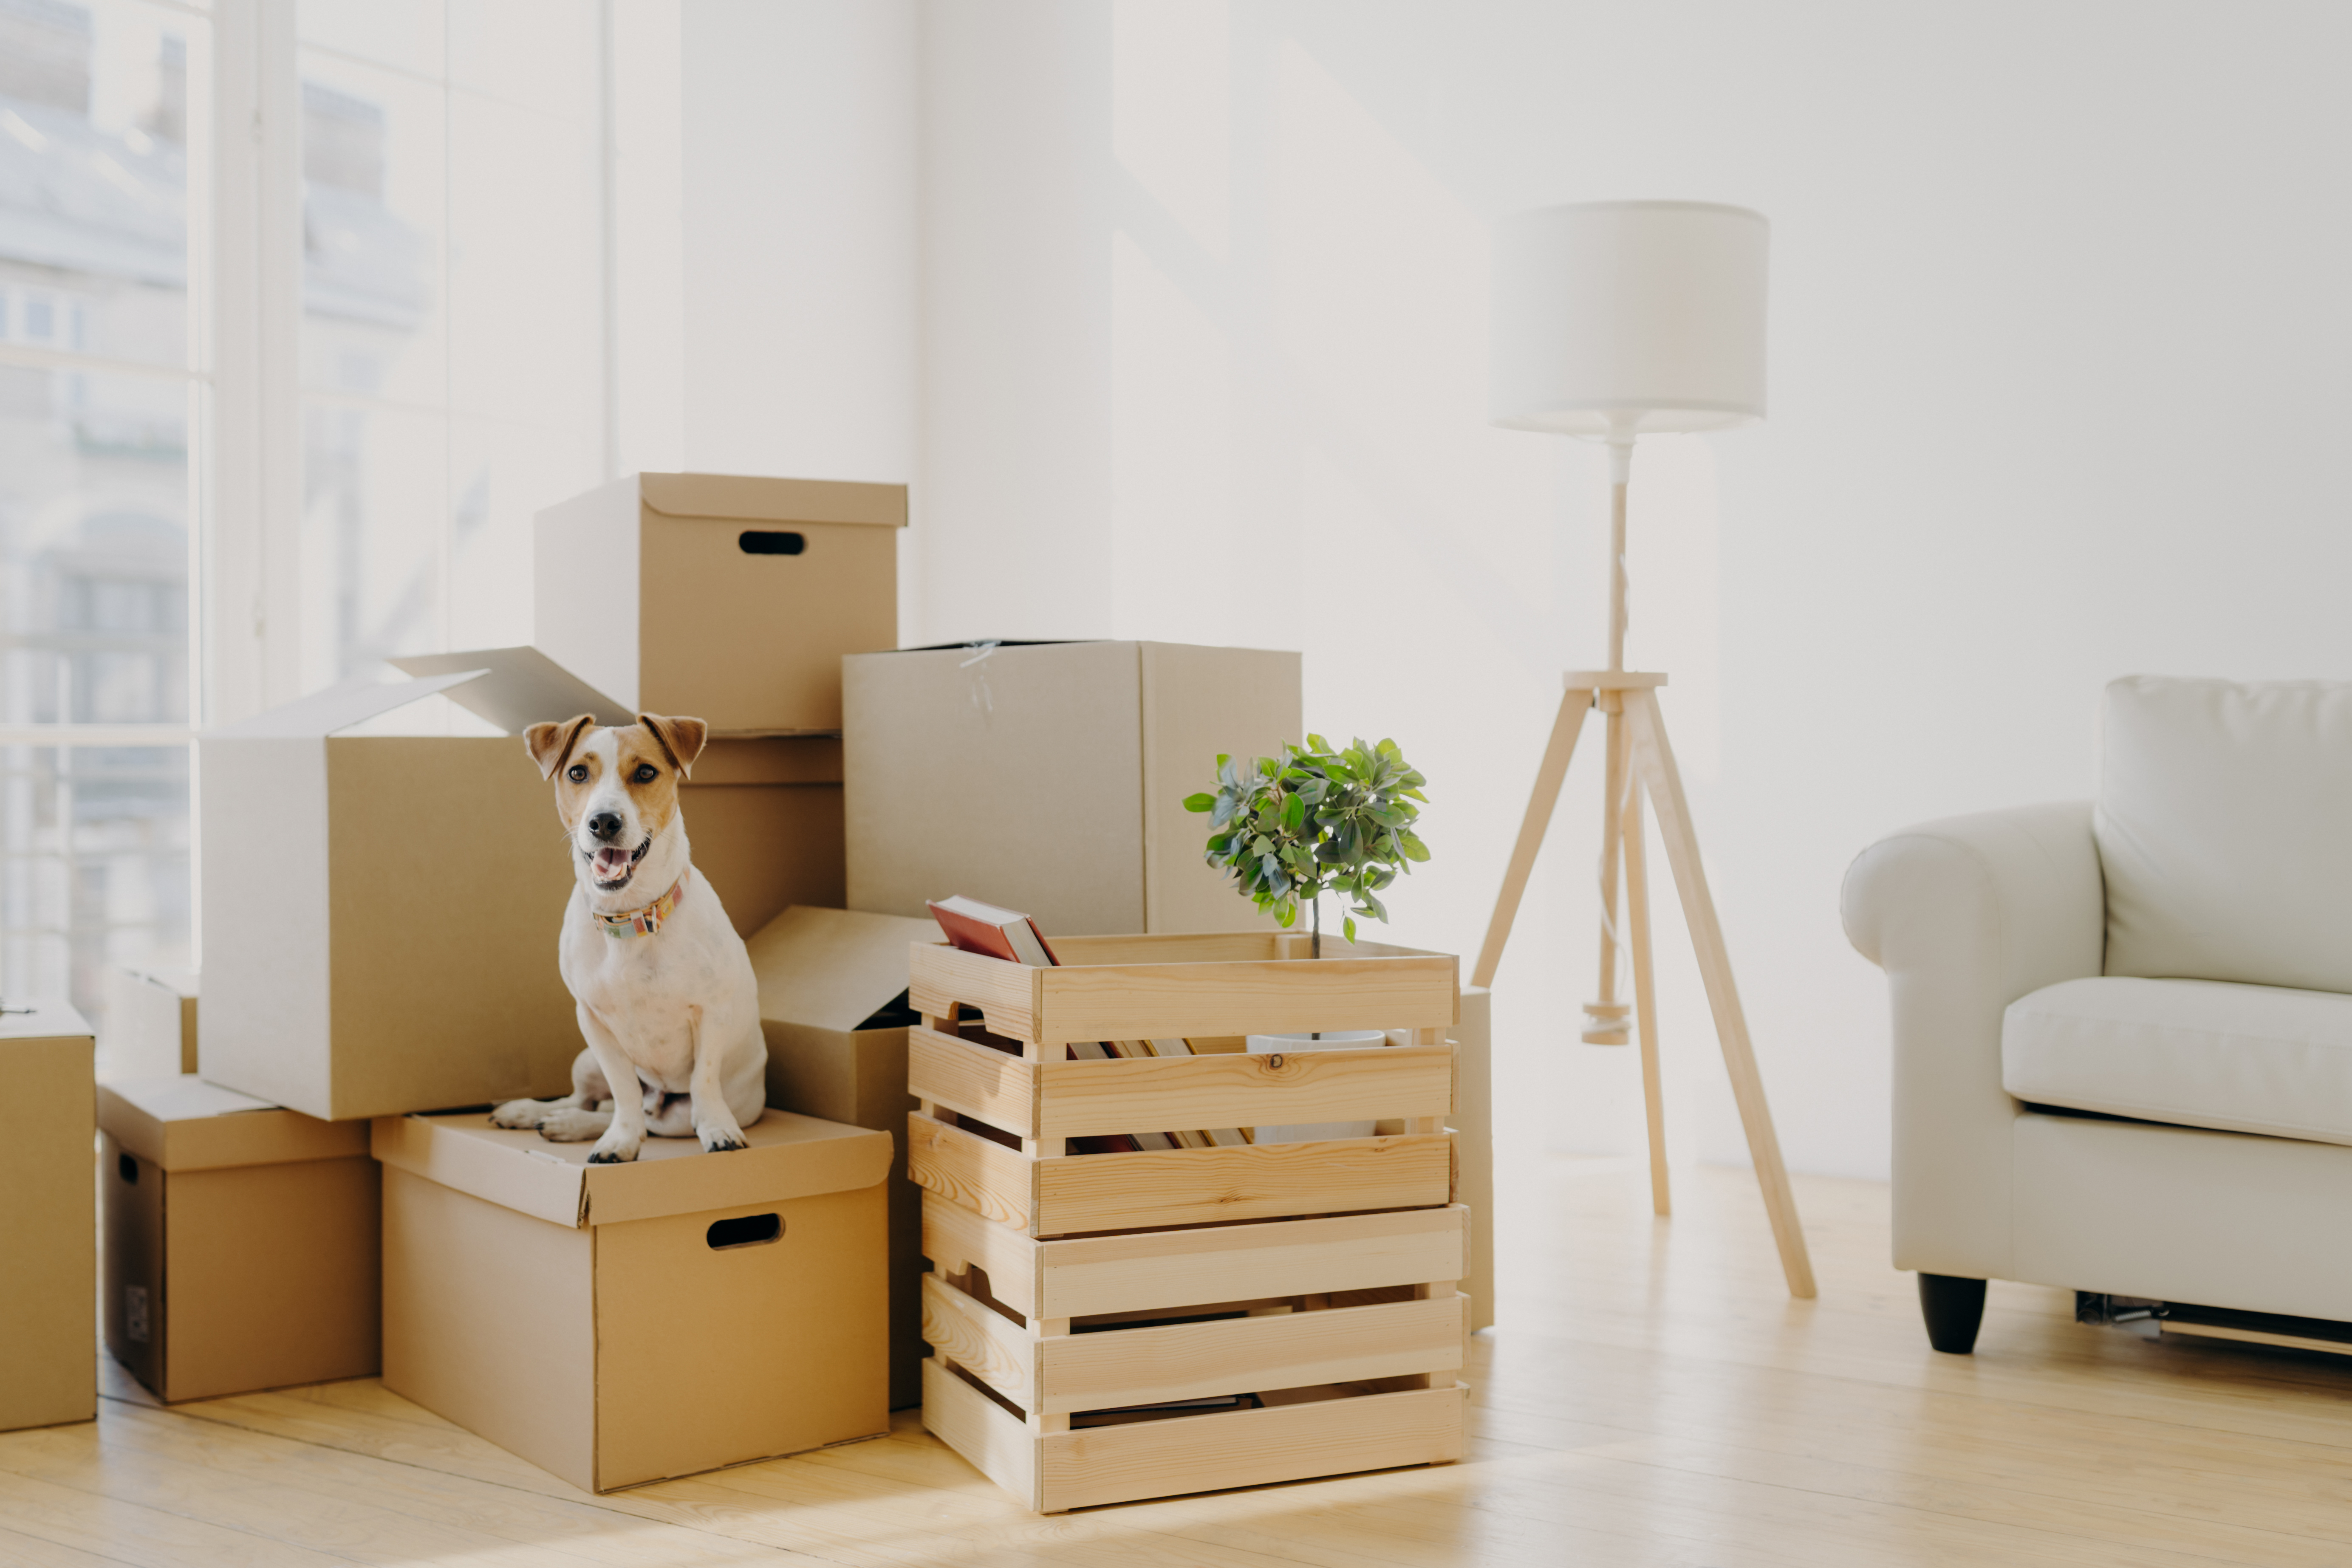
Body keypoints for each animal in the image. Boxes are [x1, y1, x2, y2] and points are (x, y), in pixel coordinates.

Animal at [492, 719, 766, 1161]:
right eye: (578, 773)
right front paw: (620, 1140)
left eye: (646, 772)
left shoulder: (712, 1013)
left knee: (650, 1120)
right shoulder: (593, 1022)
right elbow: (623, 1091)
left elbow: (704, 1080)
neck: (630, 919)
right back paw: (541, 1114)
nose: (604, 821)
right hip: (585, 1060)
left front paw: (719, 1130)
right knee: (591, 1101)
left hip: (676, 1116)